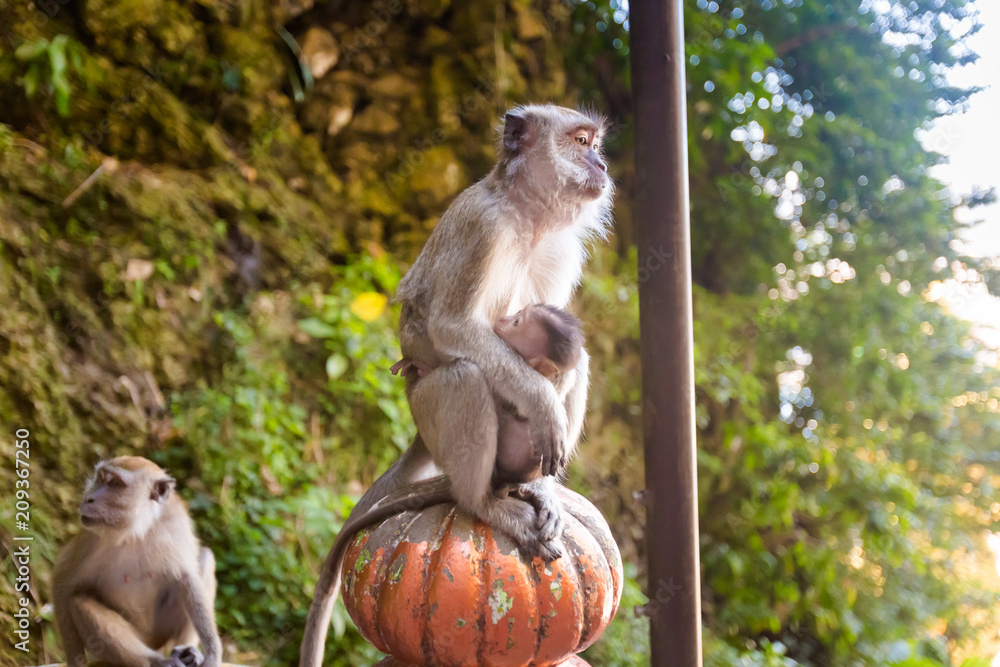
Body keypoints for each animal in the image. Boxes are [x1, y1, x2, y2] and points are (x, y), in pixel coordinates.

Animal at [53, 456, 222, 667]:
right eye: (100, 479)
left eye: (115, 483)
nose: (89, 498)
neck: (137, 530)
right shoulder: (90, 539)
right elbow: (63, 583)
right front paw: (75, 661)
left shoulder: (176, 523)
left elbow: (187, 578)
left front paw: (212, 652)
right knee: (80, 602)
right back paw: (155, 660)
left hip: (162, 633)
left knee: (205, 558)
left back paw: (187, 651)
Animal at [300, 104, 612, 667]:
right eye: (582, 142)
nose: (600, 164)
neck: (527, 218)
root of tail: (418, 432)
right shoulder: (485, 227)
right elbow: (452, 327)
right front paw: (541, 402)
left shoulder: (562, 250)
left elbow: (567, 345)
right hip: (428, 409)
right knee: (464, 376)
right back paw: (483, 503)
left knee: (579, 363)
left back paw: (536, 485)